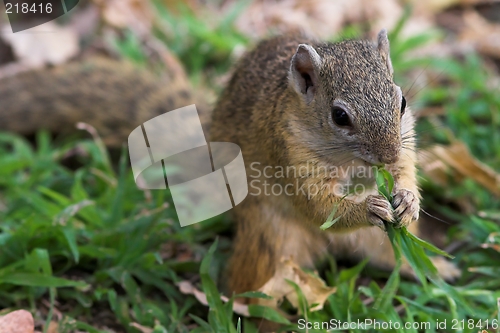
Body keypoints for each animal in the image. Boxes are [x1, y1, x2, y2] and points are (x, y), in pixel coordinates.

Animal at [0, 30, 460, 298]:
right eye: (340, 116)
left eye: (402, 101)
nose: (387, 154)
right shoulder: (287, 155)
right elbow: (317, 205)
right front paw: (370, 207)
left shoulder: (404, 145)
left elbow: (406, 172)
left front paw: (406, 198)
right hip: (271, 238)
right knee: (253, 278)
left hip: (381, 243)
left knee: (389, 254)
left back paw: (436, 268)